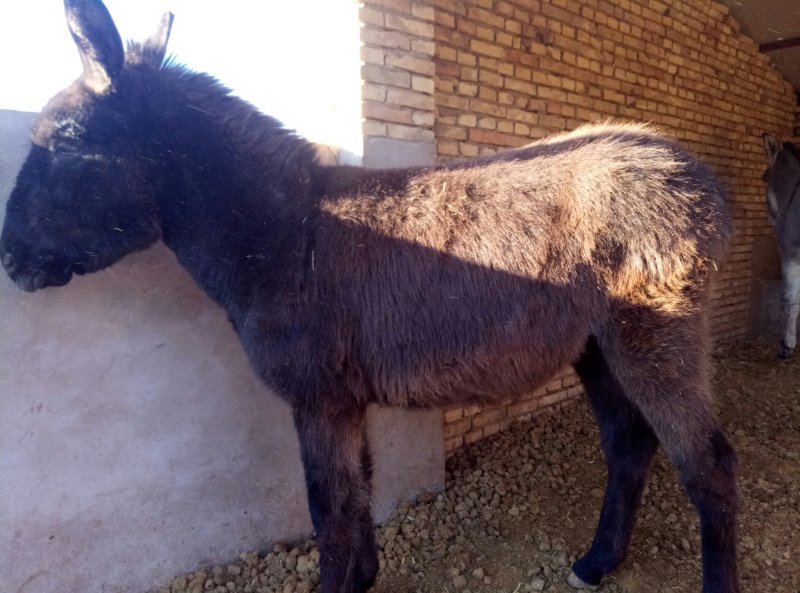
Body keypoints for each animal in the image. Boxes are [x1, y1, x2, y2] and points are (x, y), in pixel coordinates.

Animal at [0, 1, 739, 592]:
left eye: (66, 141)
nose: (10, 258)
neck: (287, 233)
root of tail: (687, 169)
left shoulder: (319, 397)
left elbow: (329, 510)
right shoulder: (344, 399)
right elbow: (353, 504)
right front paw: (361, 580)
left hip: (655, 333)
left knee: (709, 462)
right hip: (597, 346)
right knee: (629, 445)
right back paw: (596, 562)